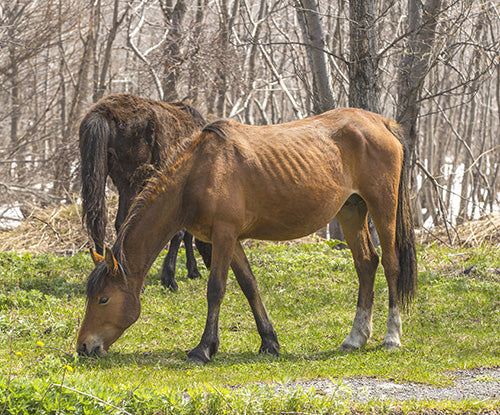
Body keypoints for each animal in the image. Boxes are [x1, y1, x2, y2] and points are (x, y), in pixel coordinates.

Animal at [78, 93, 211, 290]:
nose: (210, 265)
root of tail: (102, 113)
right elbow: (179, 233)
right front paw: (171, 277)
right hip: (132, 180)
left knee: (100, 221)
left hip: (107, 176)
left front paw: (191, 271)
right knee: (122, 222)